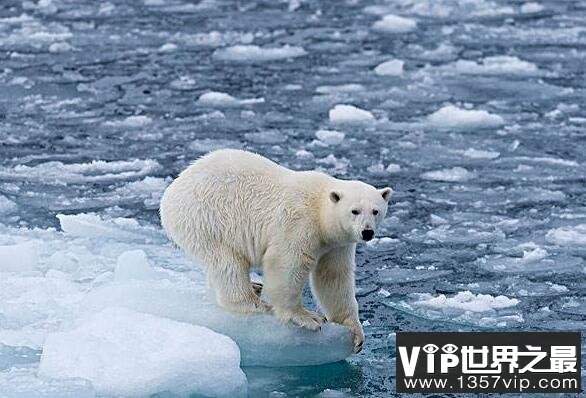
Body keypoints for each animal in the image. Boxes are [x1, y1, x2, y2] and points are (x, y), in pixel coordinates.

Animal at [159, 149, 392, 352]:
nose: (367, 232)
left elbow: (333, 277)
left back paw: (255, 286)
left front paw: (355, 331)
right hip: (207, 219)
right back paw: (255, 303)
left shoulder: (337, 244)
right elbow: (287, 263)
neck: (320, 212)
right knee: (227, 262)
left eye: (375, 211)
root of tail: (171, 191)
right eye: (355, 211)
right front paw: (307, 317)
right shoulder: (299, 222)